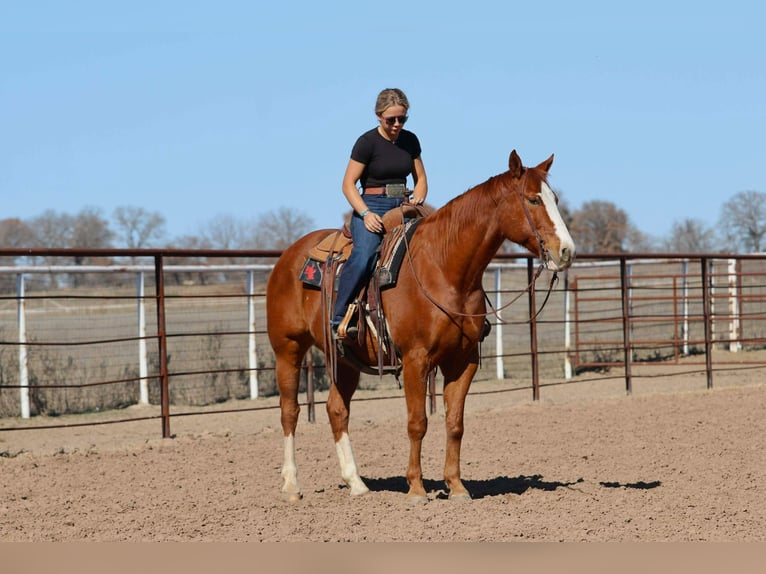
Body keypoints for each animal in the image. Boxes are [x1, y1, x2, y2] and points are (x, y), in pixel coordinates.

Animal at [266, 149, 575, 503]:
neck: (444, 268)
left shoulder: (463, 360)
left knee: (336, 409)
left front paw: (456, 486)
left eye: (554, 198)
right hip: (288, 349)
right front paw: (416, 488)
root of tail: (288, 257)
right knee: (289, 411)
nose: (566, 250)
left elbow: (455, 422)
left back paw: (356, 483)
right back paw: (292, 486)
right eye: (533, 199)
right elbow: (417, 422)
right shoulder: (416, 359)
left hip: (345, 359)